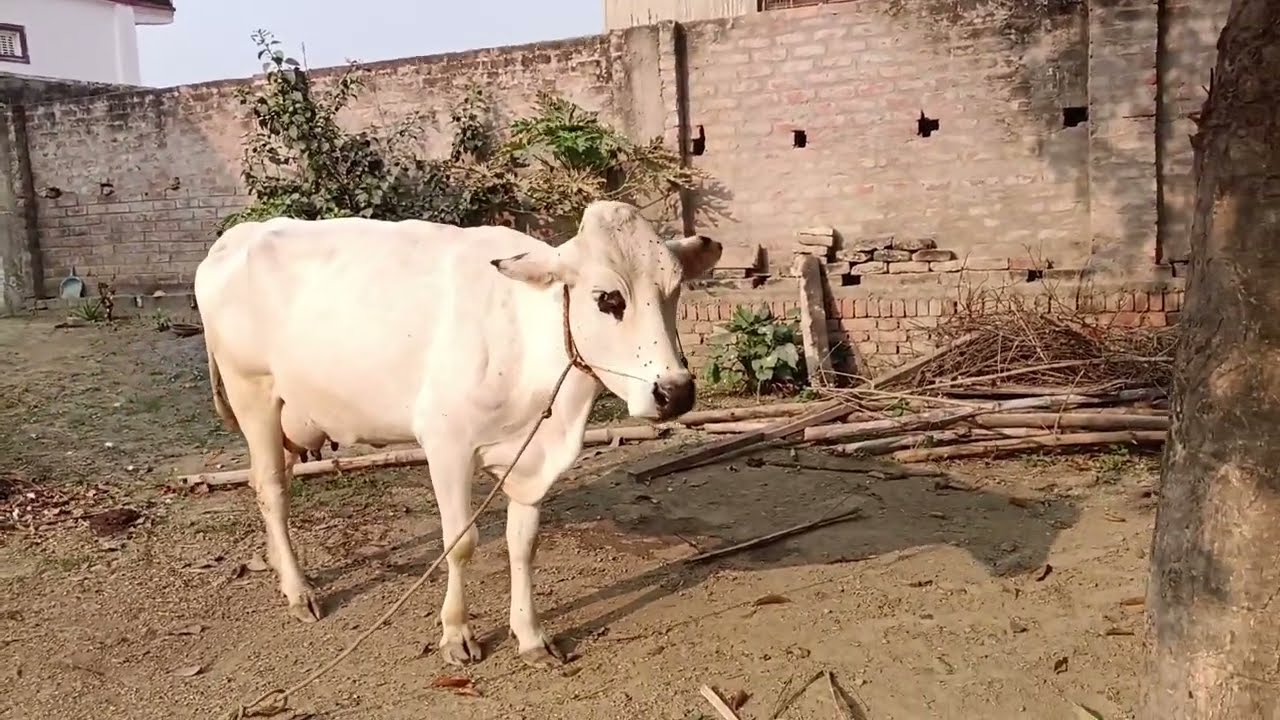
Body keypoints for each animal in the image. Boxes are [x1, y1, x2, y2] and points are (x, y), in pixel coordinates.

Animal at [194, 200, 721, 667]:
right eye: (608, 299)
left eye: (674, 290)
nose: (675, 392)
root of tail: (235, 237)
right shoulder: (447, 446)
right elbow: (460, 543)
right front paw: (456, 634)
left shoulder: (530, 459)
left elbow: (522, 543)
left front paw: (530, 635)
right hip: (253, 394)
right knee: (272, 490)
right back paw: (298, 590)